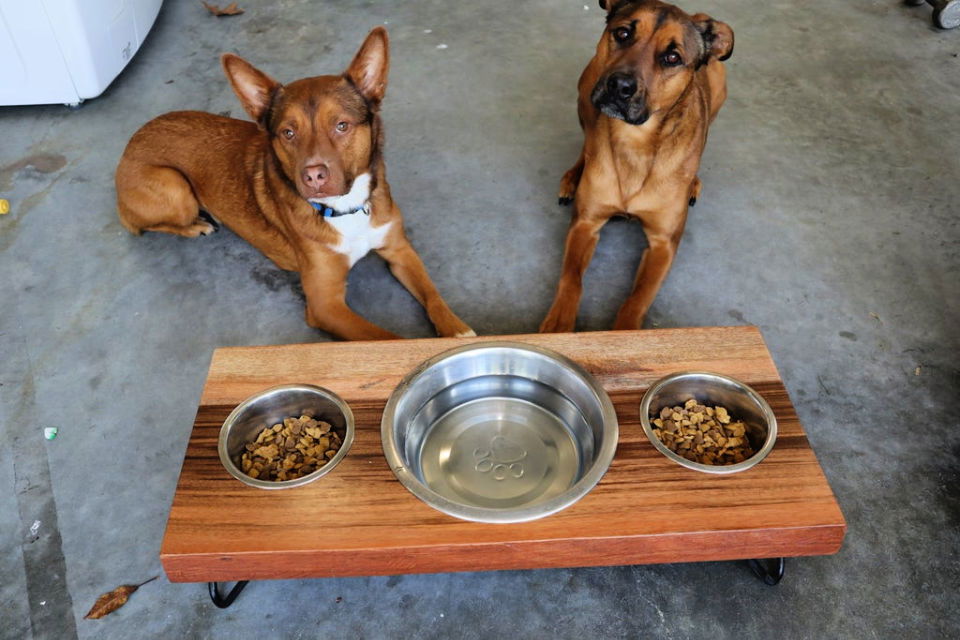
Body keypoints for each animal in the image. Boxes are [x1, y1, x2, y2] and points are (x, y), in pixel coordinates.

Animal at [116, 26, 472, 340]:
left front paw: (457, 330)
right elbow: (385, 341)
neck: (346, 210)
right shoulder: (326, 304)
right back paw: (196, 226)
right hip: (176, 188)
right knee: (141, 224)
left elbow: (432, 294)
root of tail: (132, 141)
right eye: (288, 133)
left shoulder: (399, 249)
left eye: (342, 125)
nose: (313, 176)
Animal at [540, 3, 736, 336]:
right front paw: (558, 324)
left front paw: (625, 331)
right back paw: (572, 177)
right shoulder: (585, 224)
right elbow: (571, 279)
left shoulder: (663, 244)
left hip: (719, 88)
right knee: (587, 140)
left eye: (673, 57)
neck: (636, 142)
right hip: (585, 93)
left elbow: (637, 298)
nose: (619, 86)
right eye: (623, 33)